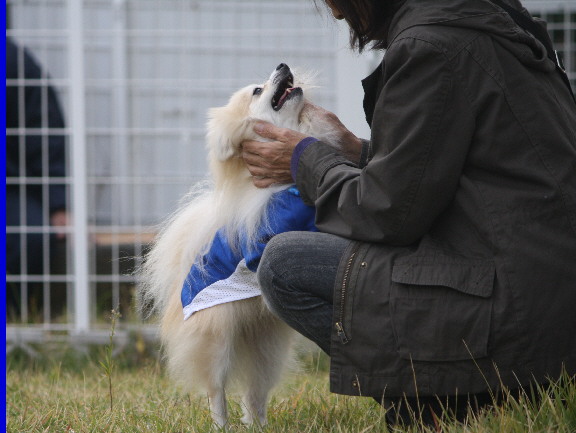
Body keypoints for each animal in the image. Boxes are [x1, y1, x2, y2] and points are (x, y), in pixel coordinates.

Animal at [139, 64, 334, 427]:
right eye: (258, 90)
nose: (283, 65)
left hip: (265, 343)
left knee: (254, 392)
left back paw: (259, 425)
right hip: (216, 335)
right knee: (217, 390)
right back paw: (221, 425)